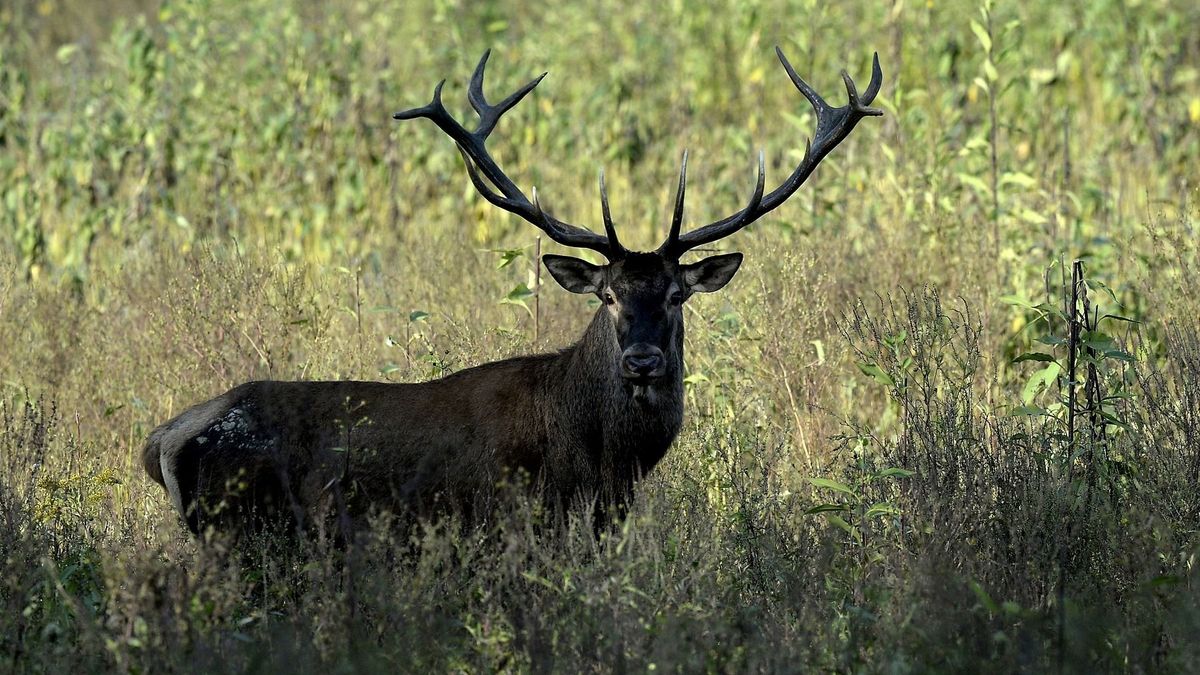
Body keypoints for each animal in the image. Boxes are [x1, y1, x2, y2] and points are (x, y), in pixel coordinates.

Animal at [145, 45, 888, 535]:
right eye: (607, 295)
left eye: (677, 295)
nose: (642, 359)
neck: (603, 463)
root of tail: (163, 441)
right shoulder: (515, 525)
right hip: (245, 532)